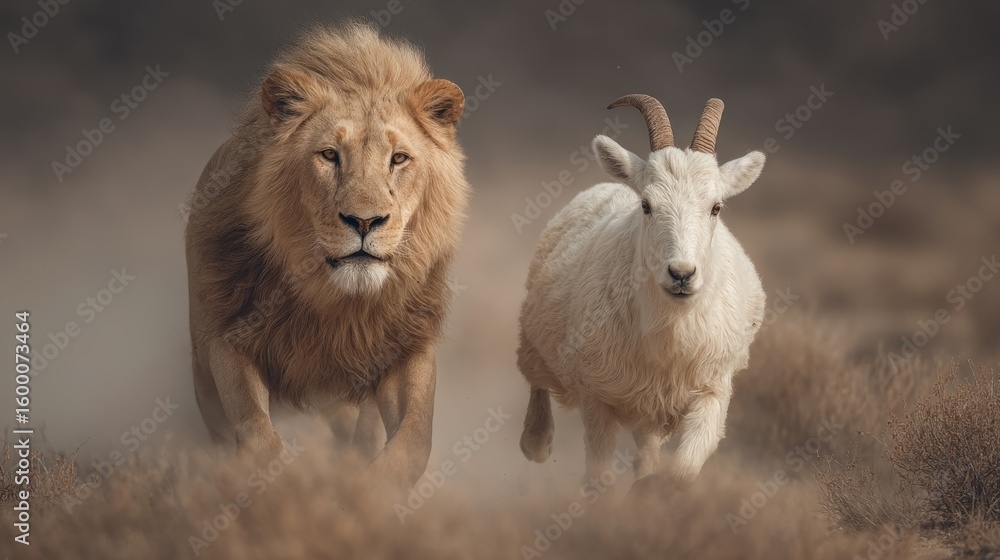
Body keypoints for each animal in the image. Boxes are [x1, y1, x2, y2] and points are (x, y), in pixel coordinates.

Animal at [184, 23, 469, 490]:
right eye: (329, 155)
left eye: (399, 158)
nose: (364, 221)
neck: (334, 302)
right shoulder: (226, 335)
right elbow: (255, 429)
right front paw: (280, 485)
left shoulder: (404, 344)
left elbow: (414, 438)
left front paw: (368, 490)